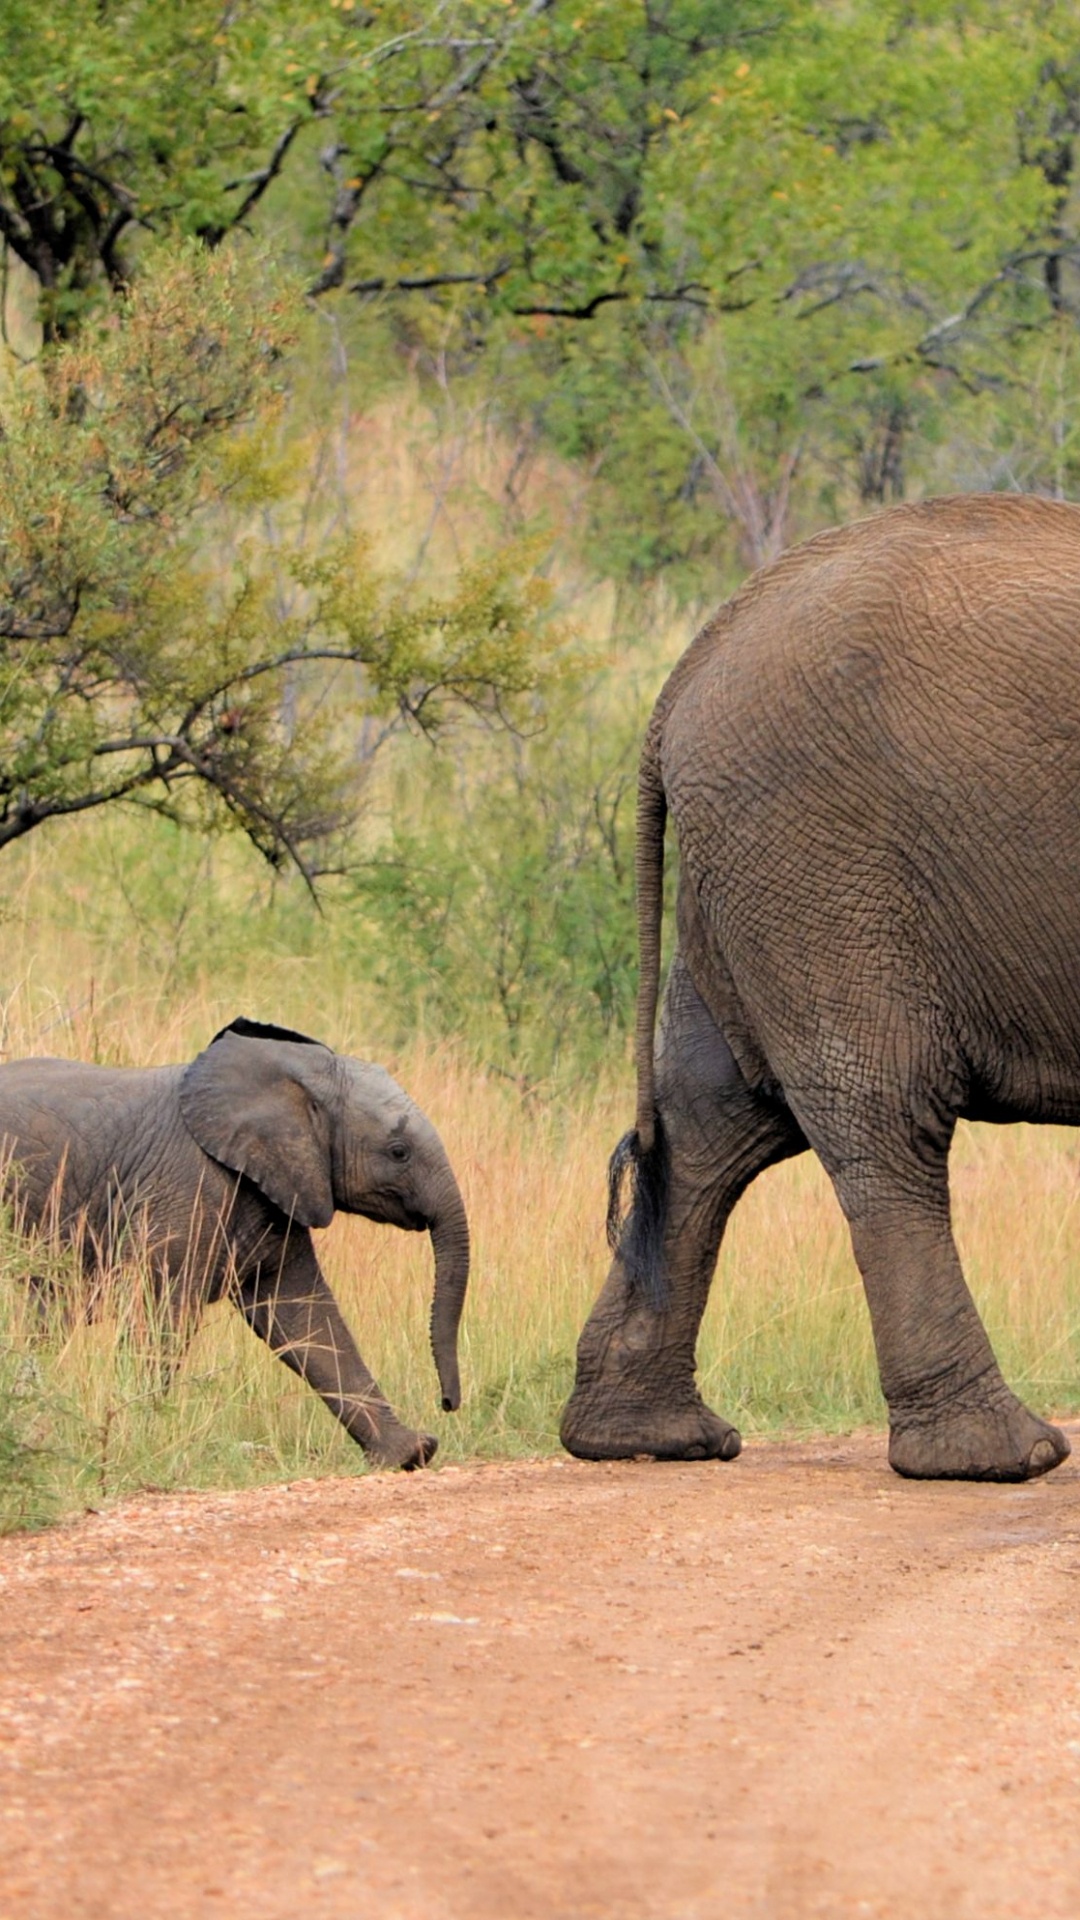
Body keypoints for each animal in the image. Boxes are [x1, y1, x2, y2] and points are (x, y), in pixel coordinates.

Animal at [0, 1016, 469, 1469]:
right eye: (398, 1152)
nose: (448, 1403)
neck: (294, 1076)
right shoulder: (186, 1189)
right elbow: (161, 1313)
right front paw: (139, 1435)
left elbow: (306, 1319)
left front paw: (408, 1454)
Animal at [562, 491, 1080, 1483]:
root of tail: (697, 658)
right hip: (818, 856)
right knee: (881, 1112)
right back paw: (999, 1457)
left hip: (761, 871)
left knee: (710, 1122)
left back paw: (645, 1440)